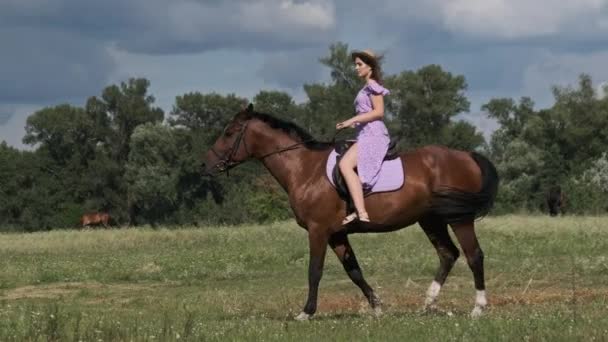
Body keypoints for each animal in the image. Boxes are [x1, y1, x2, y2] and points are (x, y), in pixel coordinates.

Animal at [203, 105, 498, 320]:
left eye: (229, 133)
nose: (206, 165)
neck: (303, 168)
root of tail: (467, 156)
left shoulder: (318, 230)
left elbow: (314, 270)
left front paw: (306, 312)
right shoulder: (337, 234)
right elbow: (354, 271)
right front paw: (377, 307)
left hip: (459, 219)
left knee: (474, 256)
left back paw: (478, 308)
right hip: (430, 220)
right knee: (448, 254)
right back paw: (428, 303)